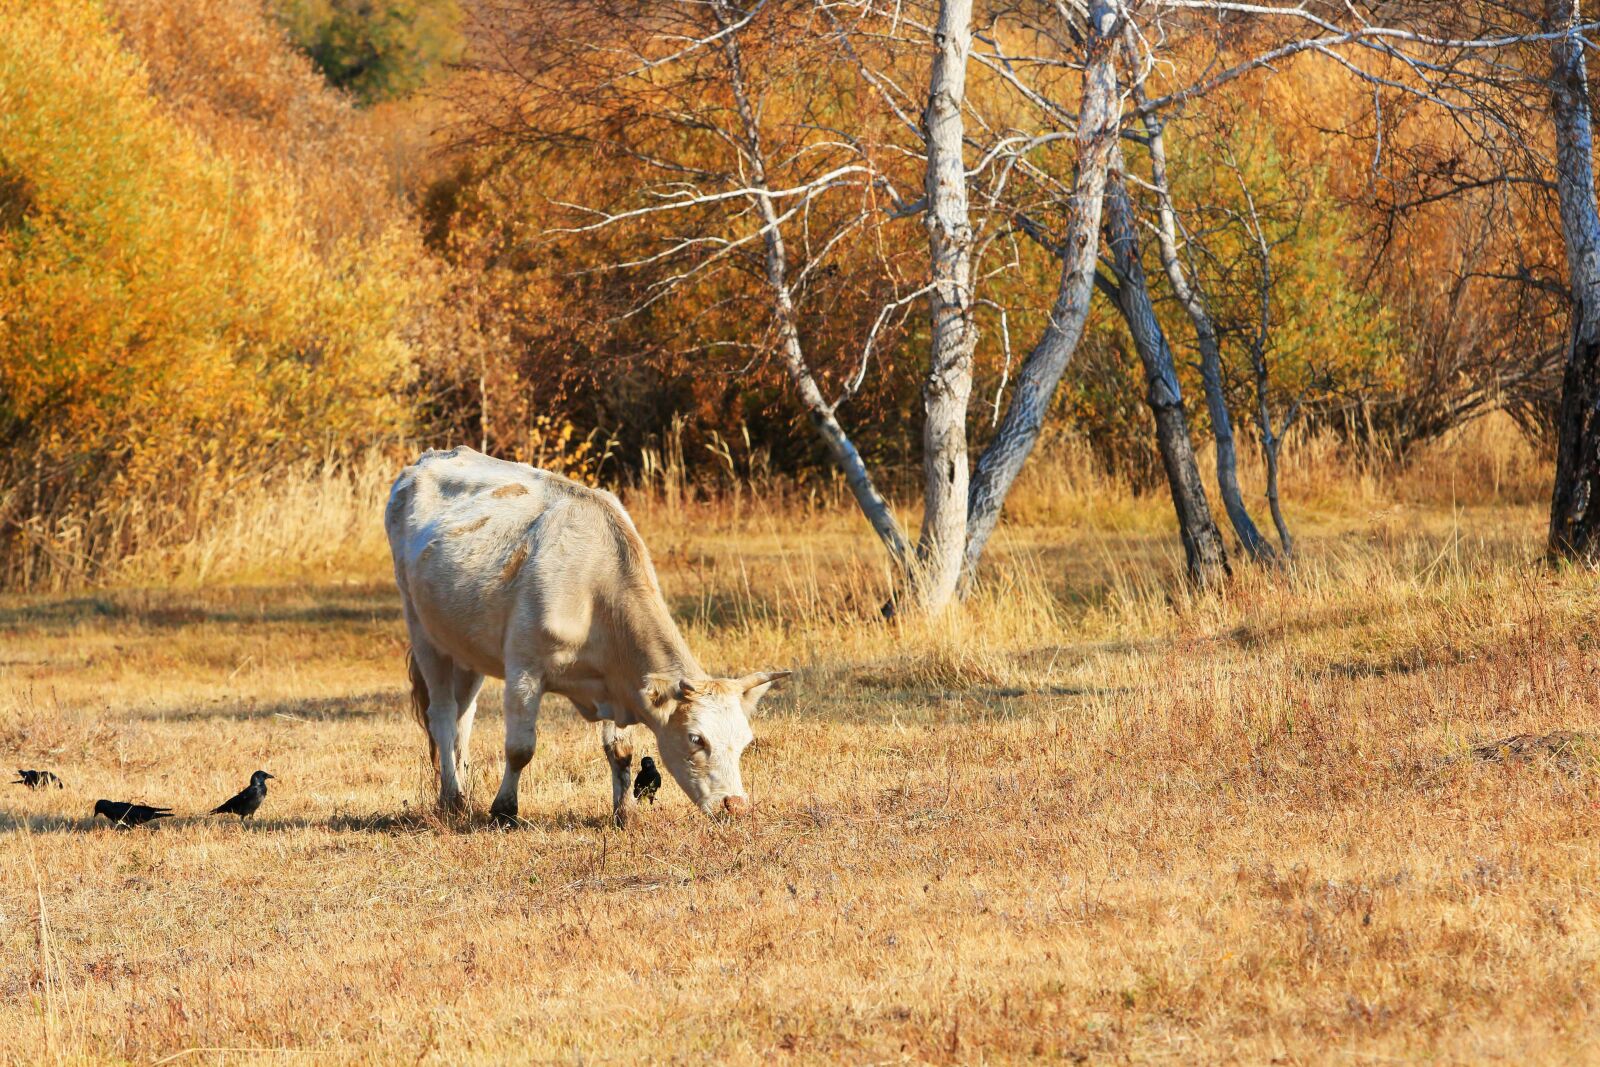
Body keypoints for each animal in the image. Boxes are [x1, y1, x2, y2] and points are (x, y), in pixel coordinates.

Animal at [387, 444, 787, 825]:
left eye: (745, 742)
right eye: (696, 738)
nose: (735, 806)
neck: (593, 589)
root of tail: (430, 458)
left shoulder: (614, 675)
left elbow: (621, 752)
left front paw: (624, 812)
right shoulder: (524, 669)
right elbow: (520, 748)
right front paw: (504, 810)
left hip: (465, 646)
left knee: (463, 715)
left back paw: (462, 791)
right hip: (422, 629)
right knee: (442, 713)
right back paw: (451, 798)